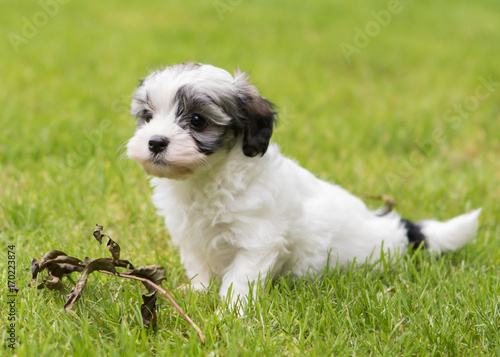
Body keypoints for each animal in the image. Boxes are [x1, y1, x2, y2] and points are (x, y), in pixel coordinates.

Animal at [127, 63, 482, 308]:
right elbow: (199, 267)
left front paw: (231, 313)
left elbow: (239, 279)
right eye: (147, 117)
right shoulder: (192, 238)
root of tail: (396, 228)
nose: (155, 142)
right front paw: (197, 293)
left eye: (198, 120)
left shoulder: (258, 240)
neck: (206, 178)